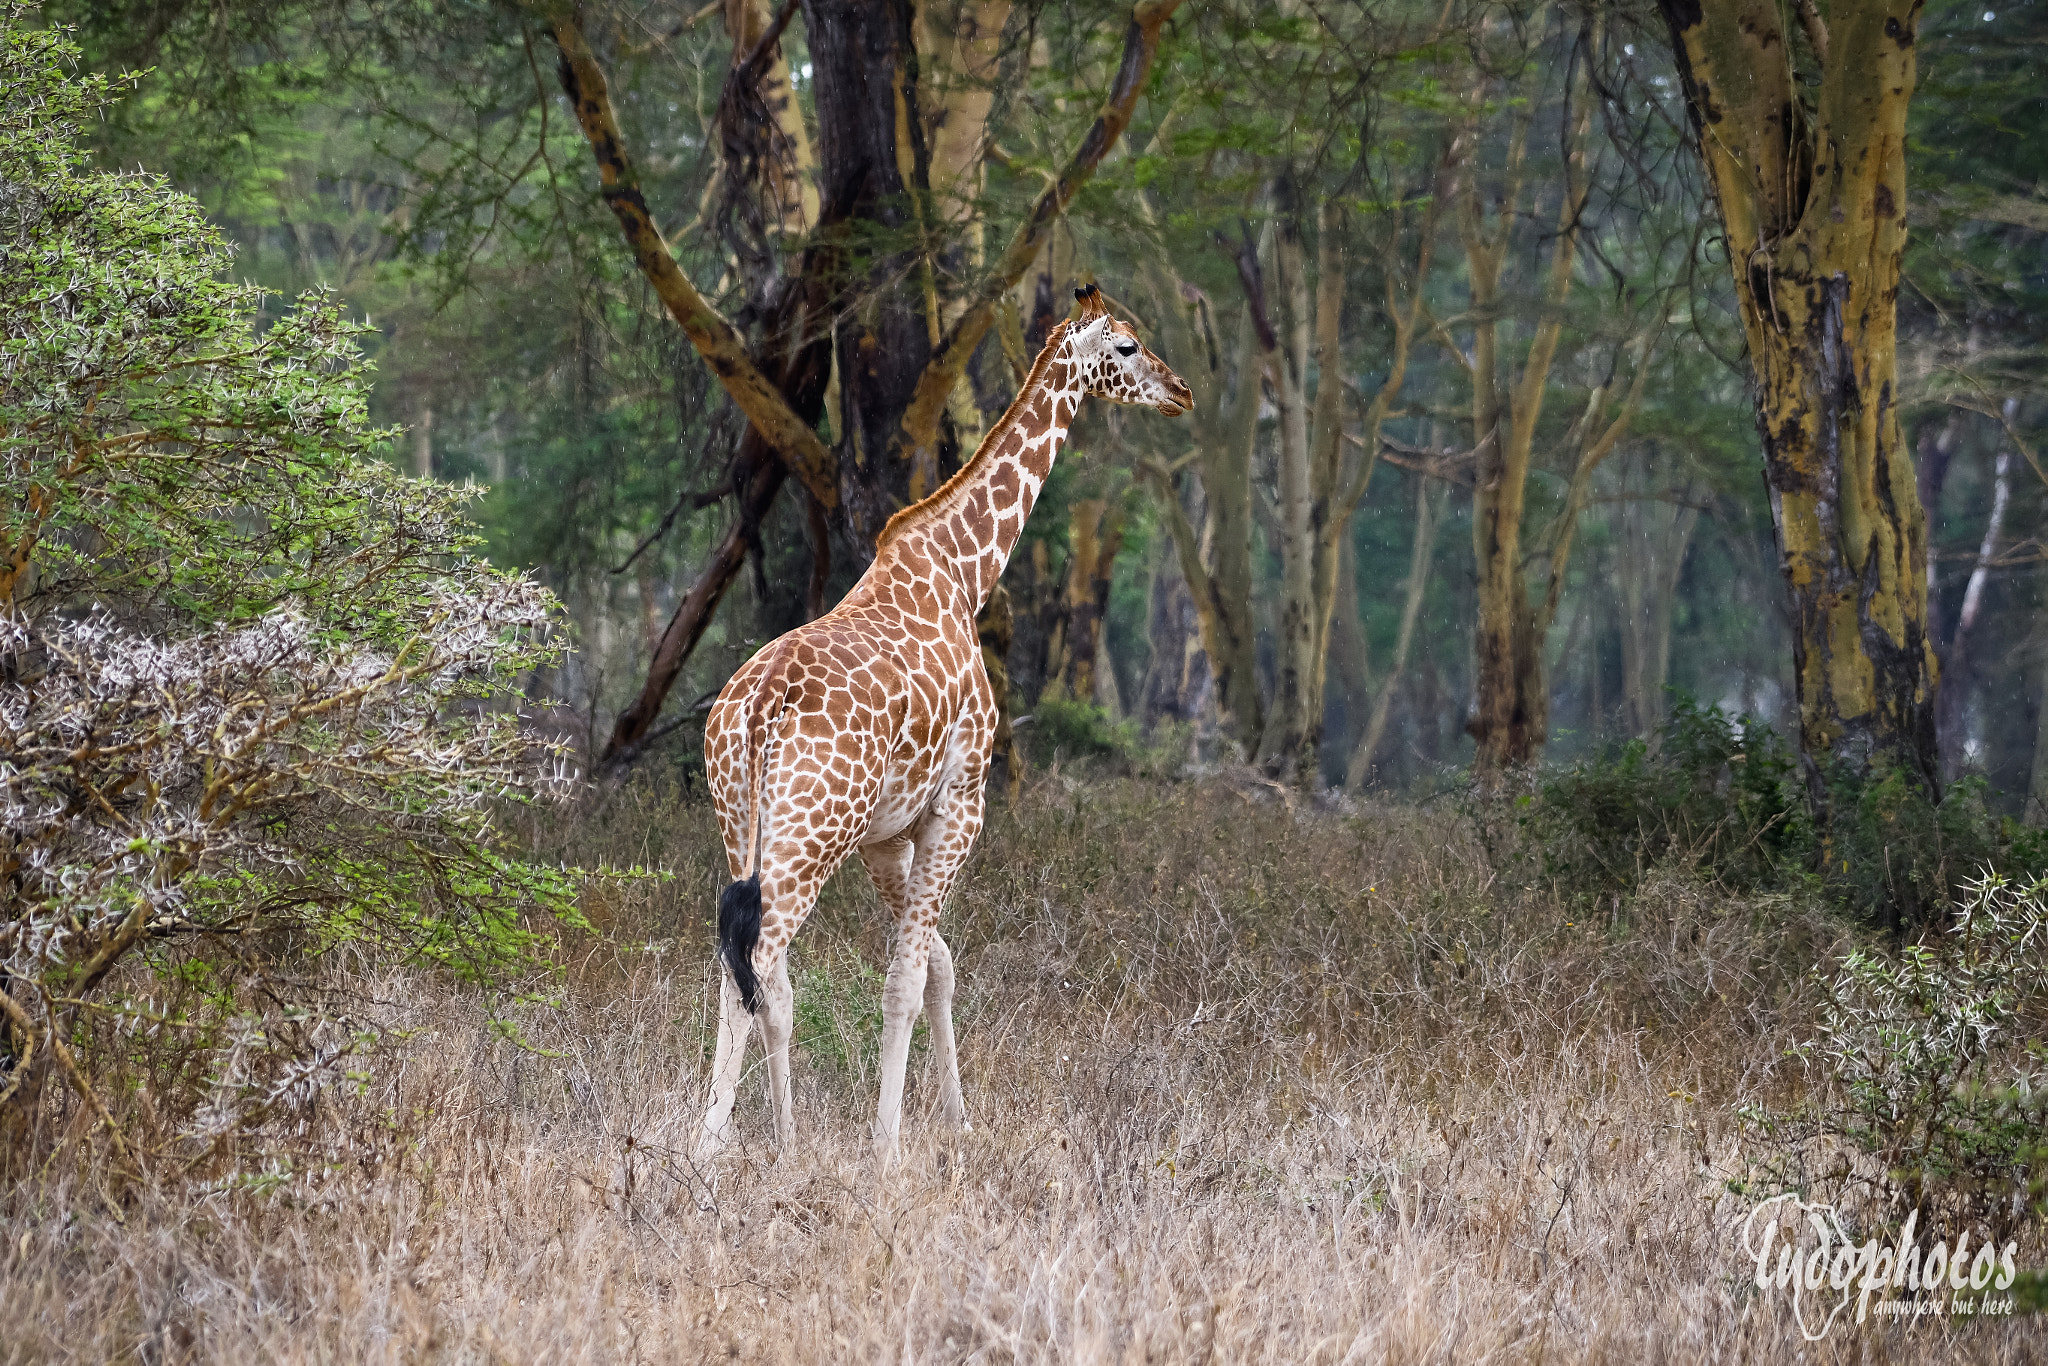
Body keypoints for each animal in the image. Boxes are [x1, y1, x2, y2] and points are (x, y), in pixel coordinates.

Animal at [696, 286, 1196, 1163]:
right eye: (1128, 346)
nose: (1182, 391)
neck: (966, 572)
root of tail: (756, 711)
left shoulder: (887, 834)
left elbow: (938, 962)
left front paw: (954, 1120)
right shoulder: (961, 803)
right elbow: (906, 976)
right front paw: (889, 1144)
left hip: (744, 824)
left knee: (757, 970)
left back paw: (775, 1143)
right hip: (809, 835)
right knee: (756, 958)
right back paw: (704, 1147)